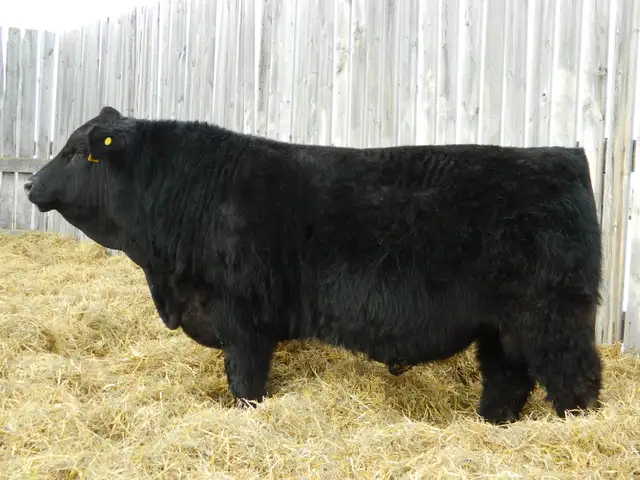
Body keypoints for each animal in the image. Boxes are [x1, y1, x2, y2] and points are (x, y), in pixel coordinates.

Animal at [24, 106, 603, 424]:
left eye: (75, 152)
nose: (29, 183)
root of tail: (566, 156)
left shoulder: (243, 318)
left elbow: (245, 382)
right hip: (502, 325)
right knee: (507, 377)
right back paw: (488, 424)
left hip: (554, 314)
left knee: (576, 378)